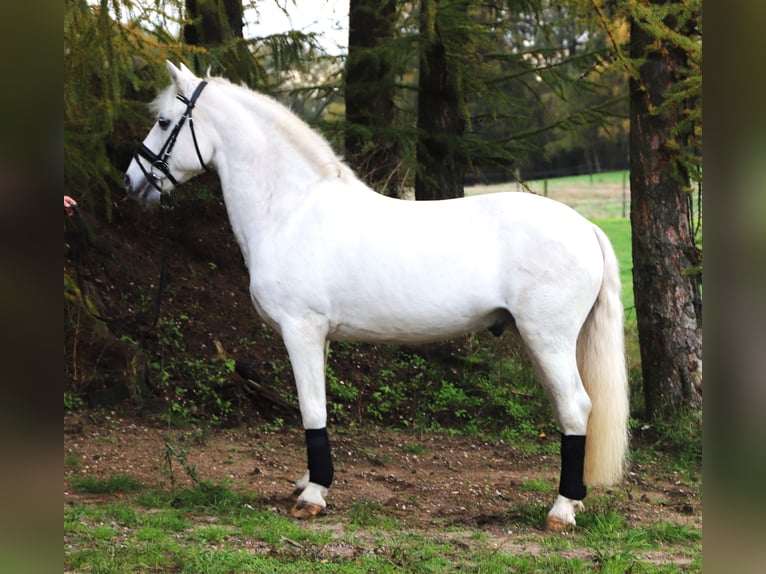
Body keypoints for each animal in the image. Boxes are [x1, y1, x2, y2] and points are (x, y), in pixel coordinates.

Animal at [124, 61, 629, 531]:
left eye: (165, 122)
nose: (132, 181)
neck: (291, 210)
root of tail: (585, 226)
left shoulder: (300, 329)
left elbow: (310, 407)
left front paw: (314, 496)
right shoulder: (320, 337)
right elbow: (319, 405)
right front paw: (309, 482)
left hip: (548, 339)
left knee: (575, 407)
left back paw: (561, 510)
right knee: (570, 409)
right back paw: (574, 501)